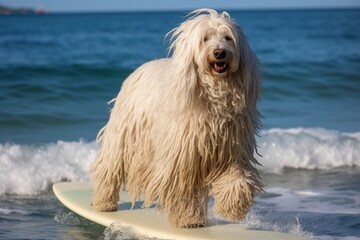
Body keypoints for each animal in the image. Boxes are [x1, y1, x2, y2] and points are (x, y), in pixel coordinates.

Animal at [91, 8, 262, 228]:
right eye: (205, 39)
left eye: (228, 38)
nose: (220, 52)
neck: (215, 96)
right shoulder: (184, 153)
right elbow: (184, 188)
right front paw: (188, 220)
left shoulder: (232, 148)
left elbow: (237, 177)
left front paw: (233, 207)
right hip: (124, 134)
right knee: (110, 166)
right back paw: (103, 203)